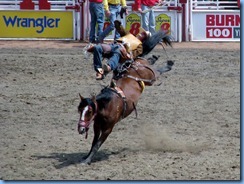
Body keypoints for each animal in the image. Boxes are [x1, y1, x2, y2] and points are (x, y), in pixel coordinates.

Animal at [77, 29, 173, 165]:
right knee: (150, 61)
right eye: (79, 110)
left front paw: (87, 160)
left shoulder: (108, 129)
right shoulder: (97, 126)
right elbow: (94, 142)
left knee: (158, 71)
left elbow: (97, 144)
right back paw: (154, 58)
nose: (80, 129)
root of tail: (133, 64)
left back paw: (168, 64)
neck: (107, 105)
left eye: (89, 111)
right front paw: (86, 157)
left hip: (151, 77)